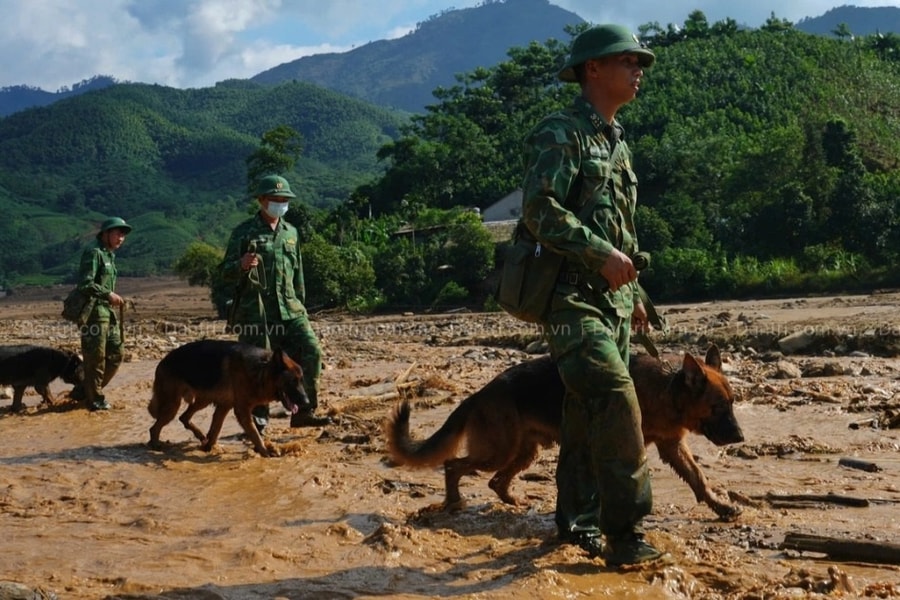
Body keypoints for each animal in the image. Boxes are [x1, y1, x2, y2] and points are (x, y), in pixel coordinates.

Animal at [148, 340, 310, 458]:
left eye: (302, 381)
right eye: (292, 382)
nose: (307, 402)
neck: (261, 370)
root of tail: (163, 361)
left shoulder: (224, 406)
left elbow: (215, 430)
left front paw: (208, 448)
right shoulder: (242, 411)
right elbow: (255, 434)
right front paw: (265, 453)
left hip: (202, 402)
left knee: (184, 417)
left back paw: (200, 436)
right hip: (172, 406)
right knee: (155, 428)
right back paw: (155, 445)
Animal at [386, 346, 744, 520]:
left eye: (733, 403)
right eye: (718, 408)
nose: (740, 438)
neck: (667, 391)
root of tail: (478, 394)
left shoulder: (672, 446)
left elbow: (699, 479)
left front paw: (721, 506)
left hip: (523, 452)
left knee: (496, 482)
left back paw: (513, 501)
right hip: (497, 452)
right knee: (453, 465)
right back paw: (453, 502)